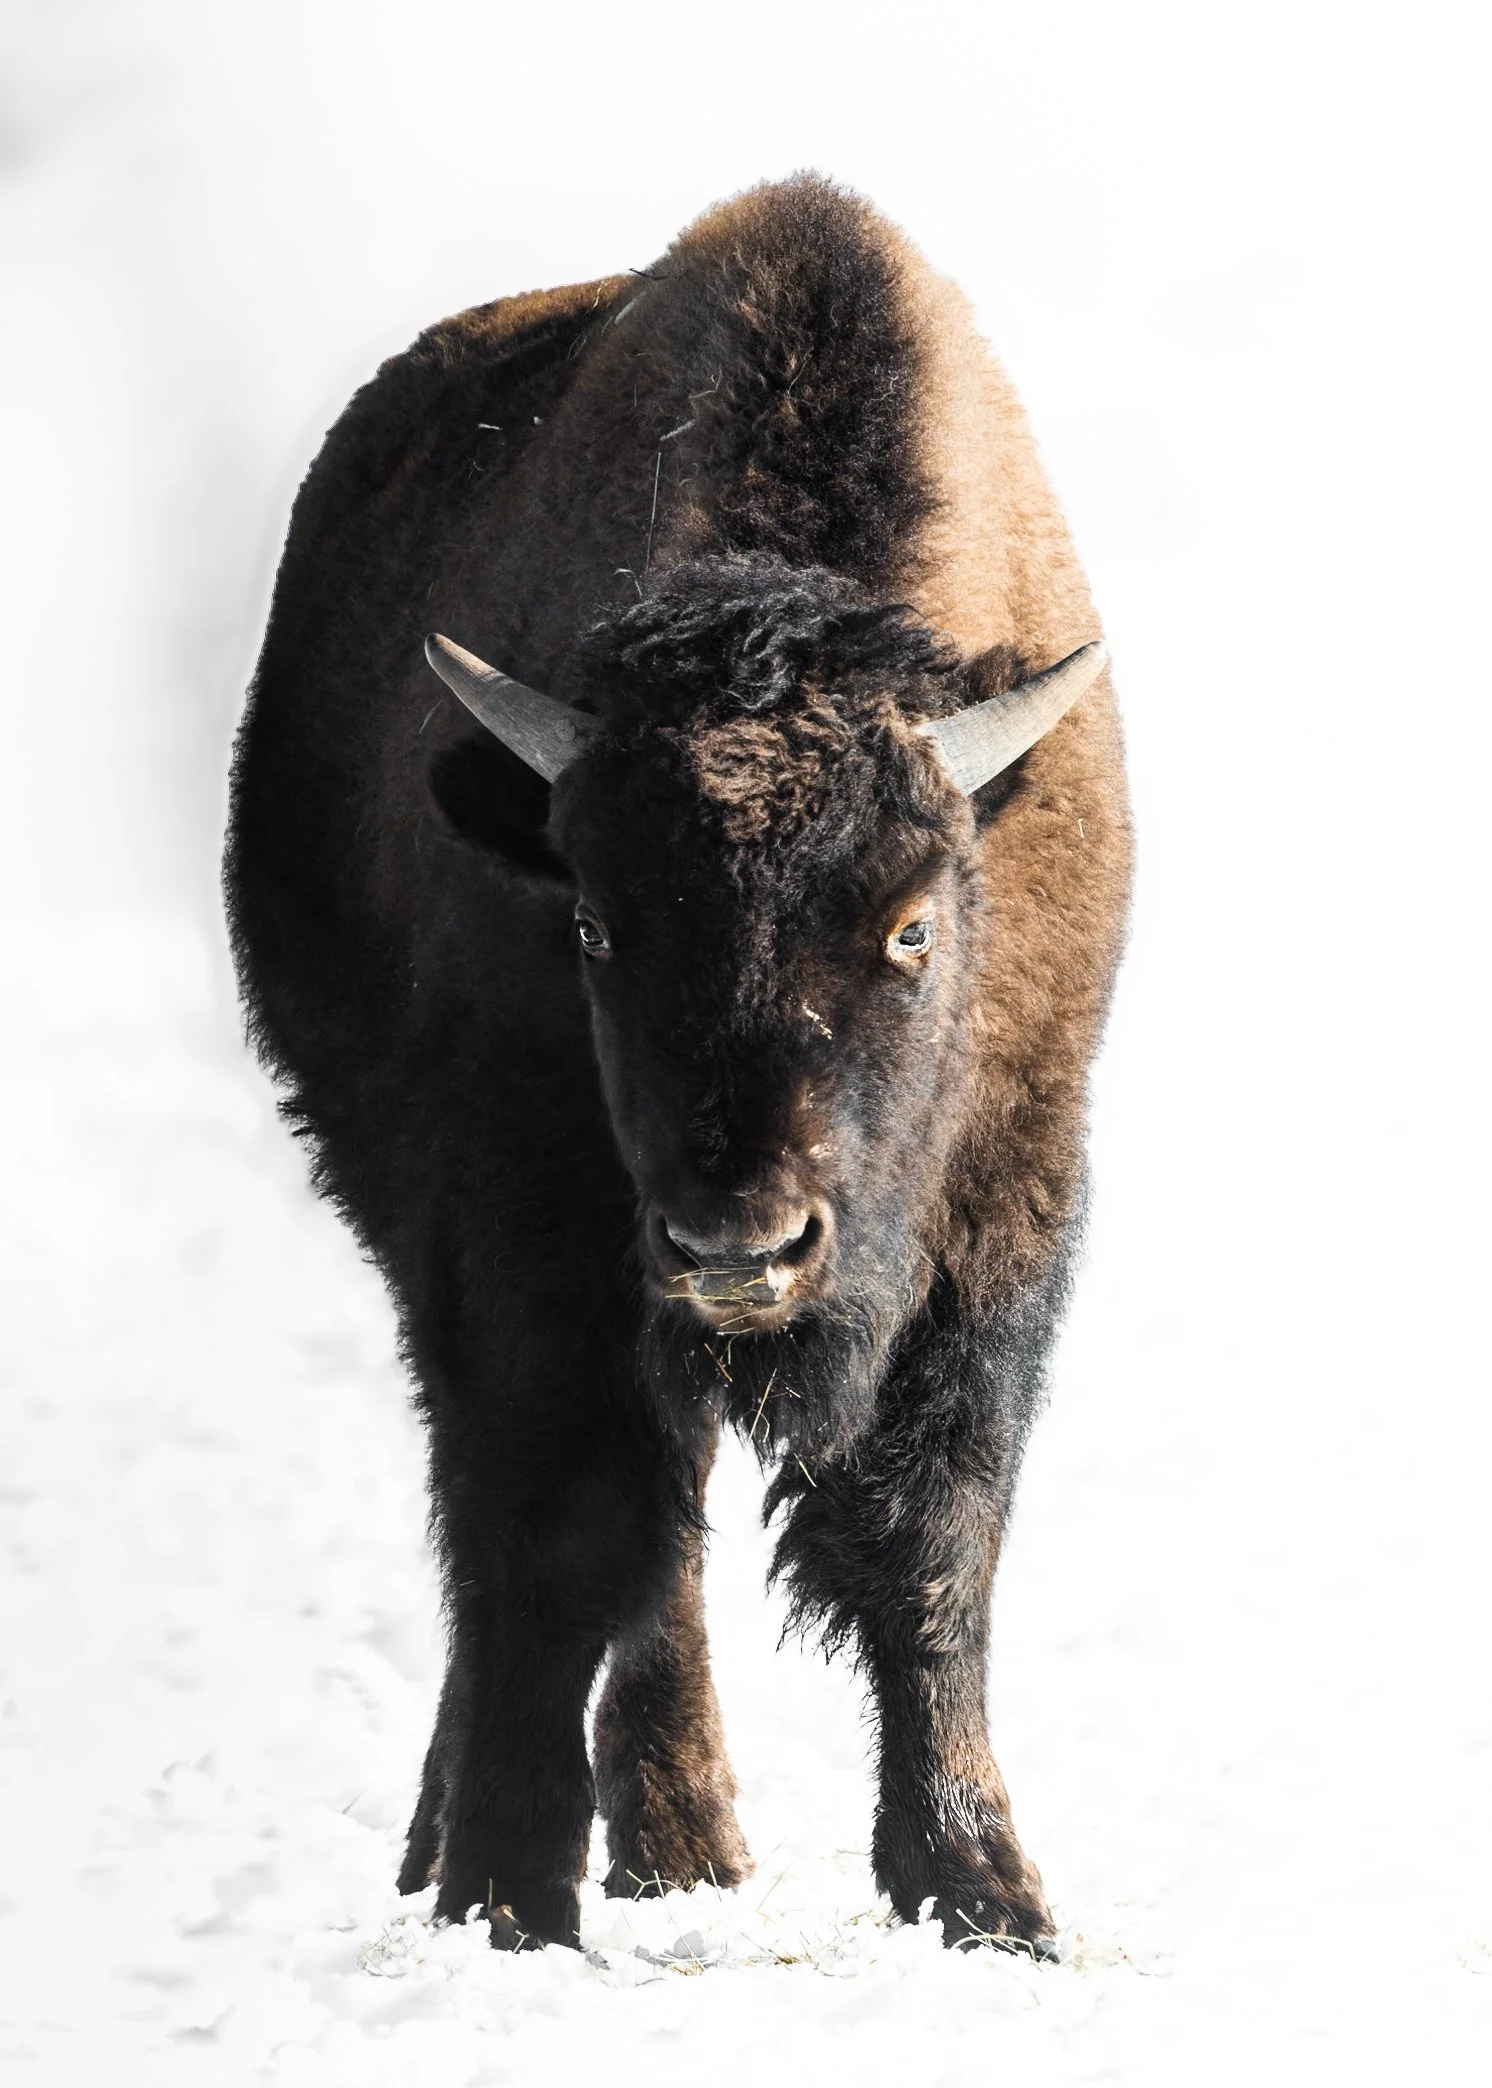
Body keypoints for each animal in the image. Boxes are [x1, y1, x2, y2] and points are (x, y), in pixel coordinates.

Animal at [225, 173, 1132, 1956]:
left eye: (913, 927)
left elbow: (933, 1538)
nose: (741, 1245)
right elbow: (561, 1540)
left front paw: (988, 1896)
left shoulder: (1004, 1208)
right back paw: (573, 1842)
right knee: (588, 1547)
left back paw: (677, 1848)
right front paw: (507, 1895)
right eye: (592, 926)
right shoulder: (526, 1232)